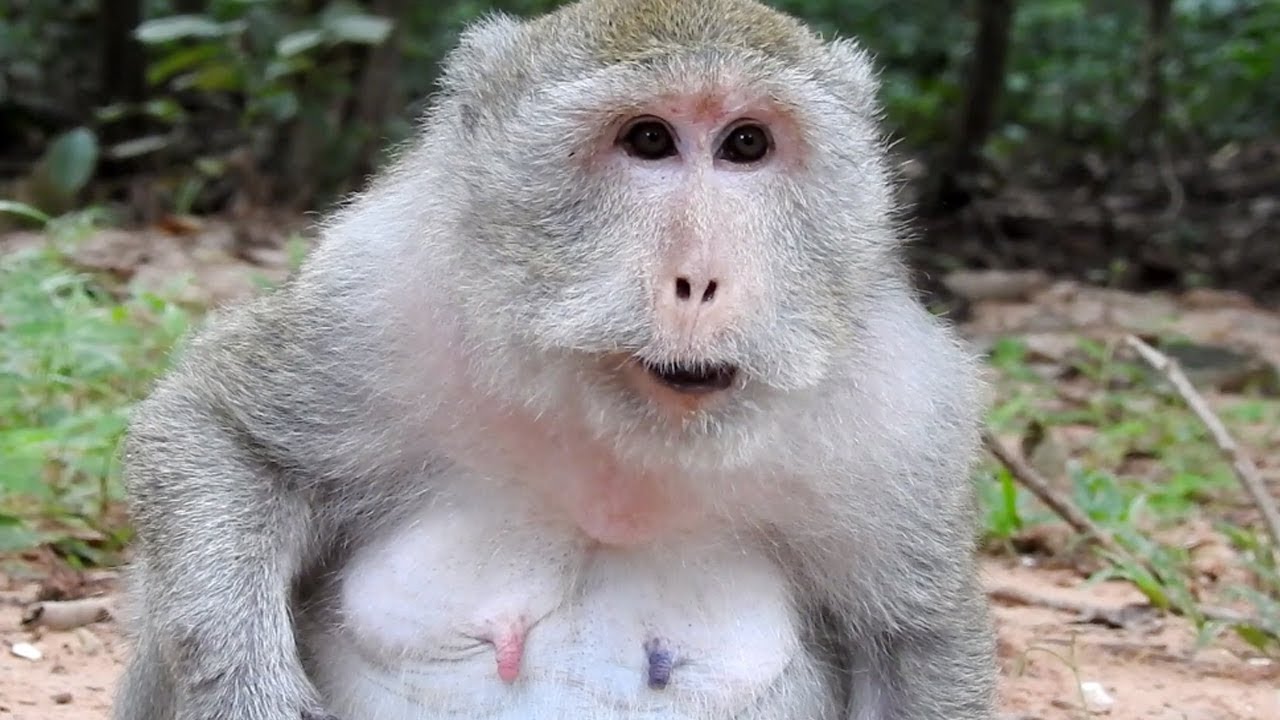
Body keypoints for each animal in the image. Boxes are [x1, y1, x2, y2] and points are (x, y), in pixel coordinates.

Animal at [111, 1, 998, 719]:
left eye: (747, 144)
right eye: (649, 140)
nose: (700, 280)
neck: (624, 438)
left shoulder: (904, 414)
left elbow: (916, 640)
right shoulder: (380, 297)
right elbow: (222, 434)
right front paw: (243, 688)